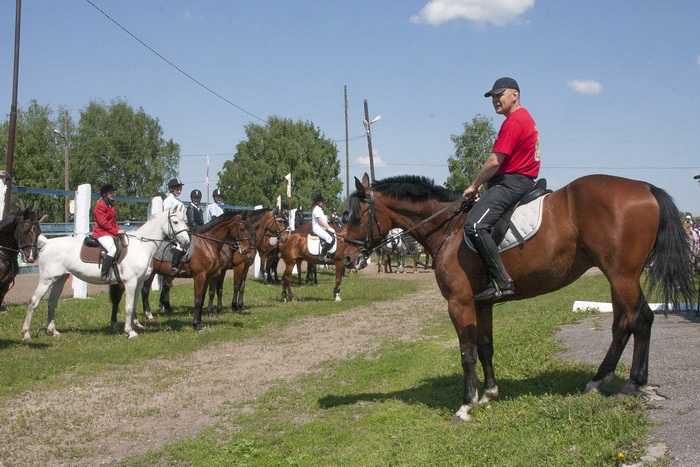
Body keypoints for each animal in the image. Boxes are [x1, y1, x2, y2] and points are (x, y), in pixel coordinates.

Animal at [22, 208, 190, 339]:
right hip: (46, 280)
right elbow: (129, 307)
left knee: (52, 302)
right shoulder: (130, 282)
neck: (142, 246)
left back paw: (53, 331)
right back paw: (26, 333)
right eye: (175, 222)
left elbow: (134, 305)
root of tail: (47, 243)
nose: (187, 242)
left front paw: (135, 326)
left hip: (60, 279)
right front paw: (130, 332)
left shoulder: (139, 282)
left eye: (184, 220)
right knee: (34, 302)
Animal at [113, 212, 253, 331]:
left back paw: (145, 317)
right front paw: (196, 325)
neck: (207, 244)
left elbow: (202, 299)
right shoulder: (200, 276)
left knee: (143, 292)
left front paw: (200, 322)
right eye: (242, 229)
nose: (246, 251)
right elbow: (198, 300)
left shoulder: (208, 276)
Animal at [342, 173, 695, 422]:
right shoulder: (482, 303)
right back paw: (597, 381)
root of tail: (646, 188)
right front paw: (489, 394)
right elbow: (485, 346)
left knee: (641, 319)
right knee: (622, 324)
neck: (449, 228)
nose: (344, 258)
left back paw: (634, 383)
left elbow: (467, 352)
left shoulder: (459, 303)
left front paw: (466, 405)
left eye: (354, 216)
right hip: (618, 277)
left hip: (622, 275)